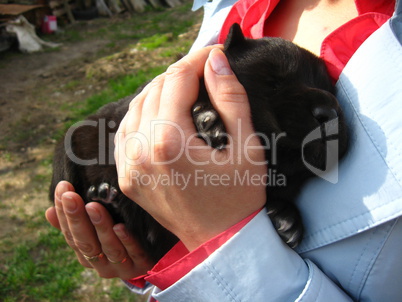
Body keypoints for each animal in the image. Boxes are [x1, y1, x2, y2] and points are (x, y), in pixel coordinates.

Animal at [49, 24, 346, 262]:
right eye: (273, 82)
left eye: (330, 88)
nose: (330, 111)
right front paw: (207, 122)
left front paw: (286, 218)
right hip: (68, 147)